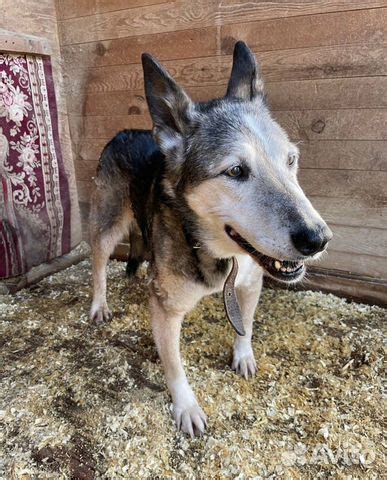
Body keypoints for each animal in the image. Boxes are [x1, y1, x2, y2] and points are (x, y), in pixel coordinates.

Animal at [89, 41, 332, 436]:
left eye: (291, 160)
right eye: (235, 171)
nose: (319, 239)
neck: (220, 254)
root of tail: (123, 131)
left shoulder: (250, 284)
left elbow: (245, 327)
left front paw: (243, 356)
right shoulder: (167, 311)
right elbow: (174, 366)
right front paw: (186, 407)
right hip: (107, 223)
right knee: (96, 264)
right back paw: (99, 304)